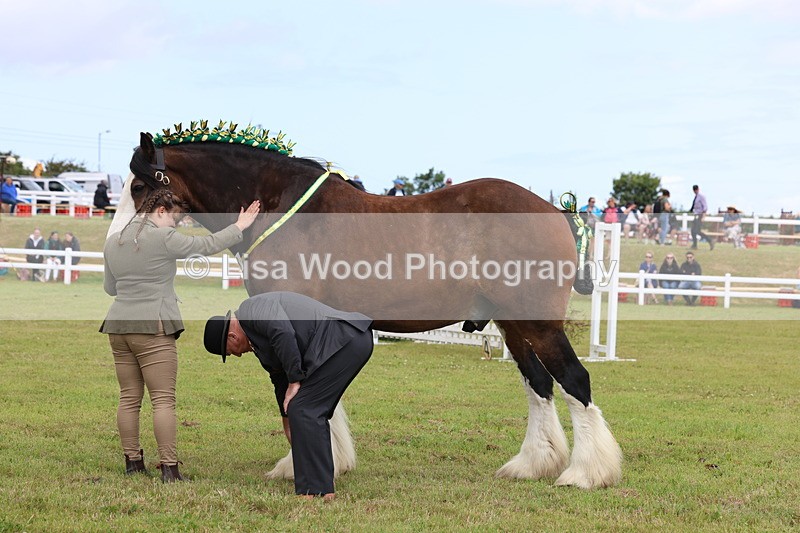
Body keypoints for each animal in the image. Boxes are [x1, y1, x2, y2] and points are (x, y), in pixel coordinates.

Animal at [108, 123, 622, 489]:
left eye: (138, 186)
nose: (116, 248)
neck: (277, 205)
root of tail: (558, 210)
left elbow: (294, 390)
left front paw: (302, 465)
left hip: (539, 323)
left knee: (575, 380)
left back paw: (585, 474)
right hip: (515, 326)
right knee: (540, 386)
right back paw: (532, 465)